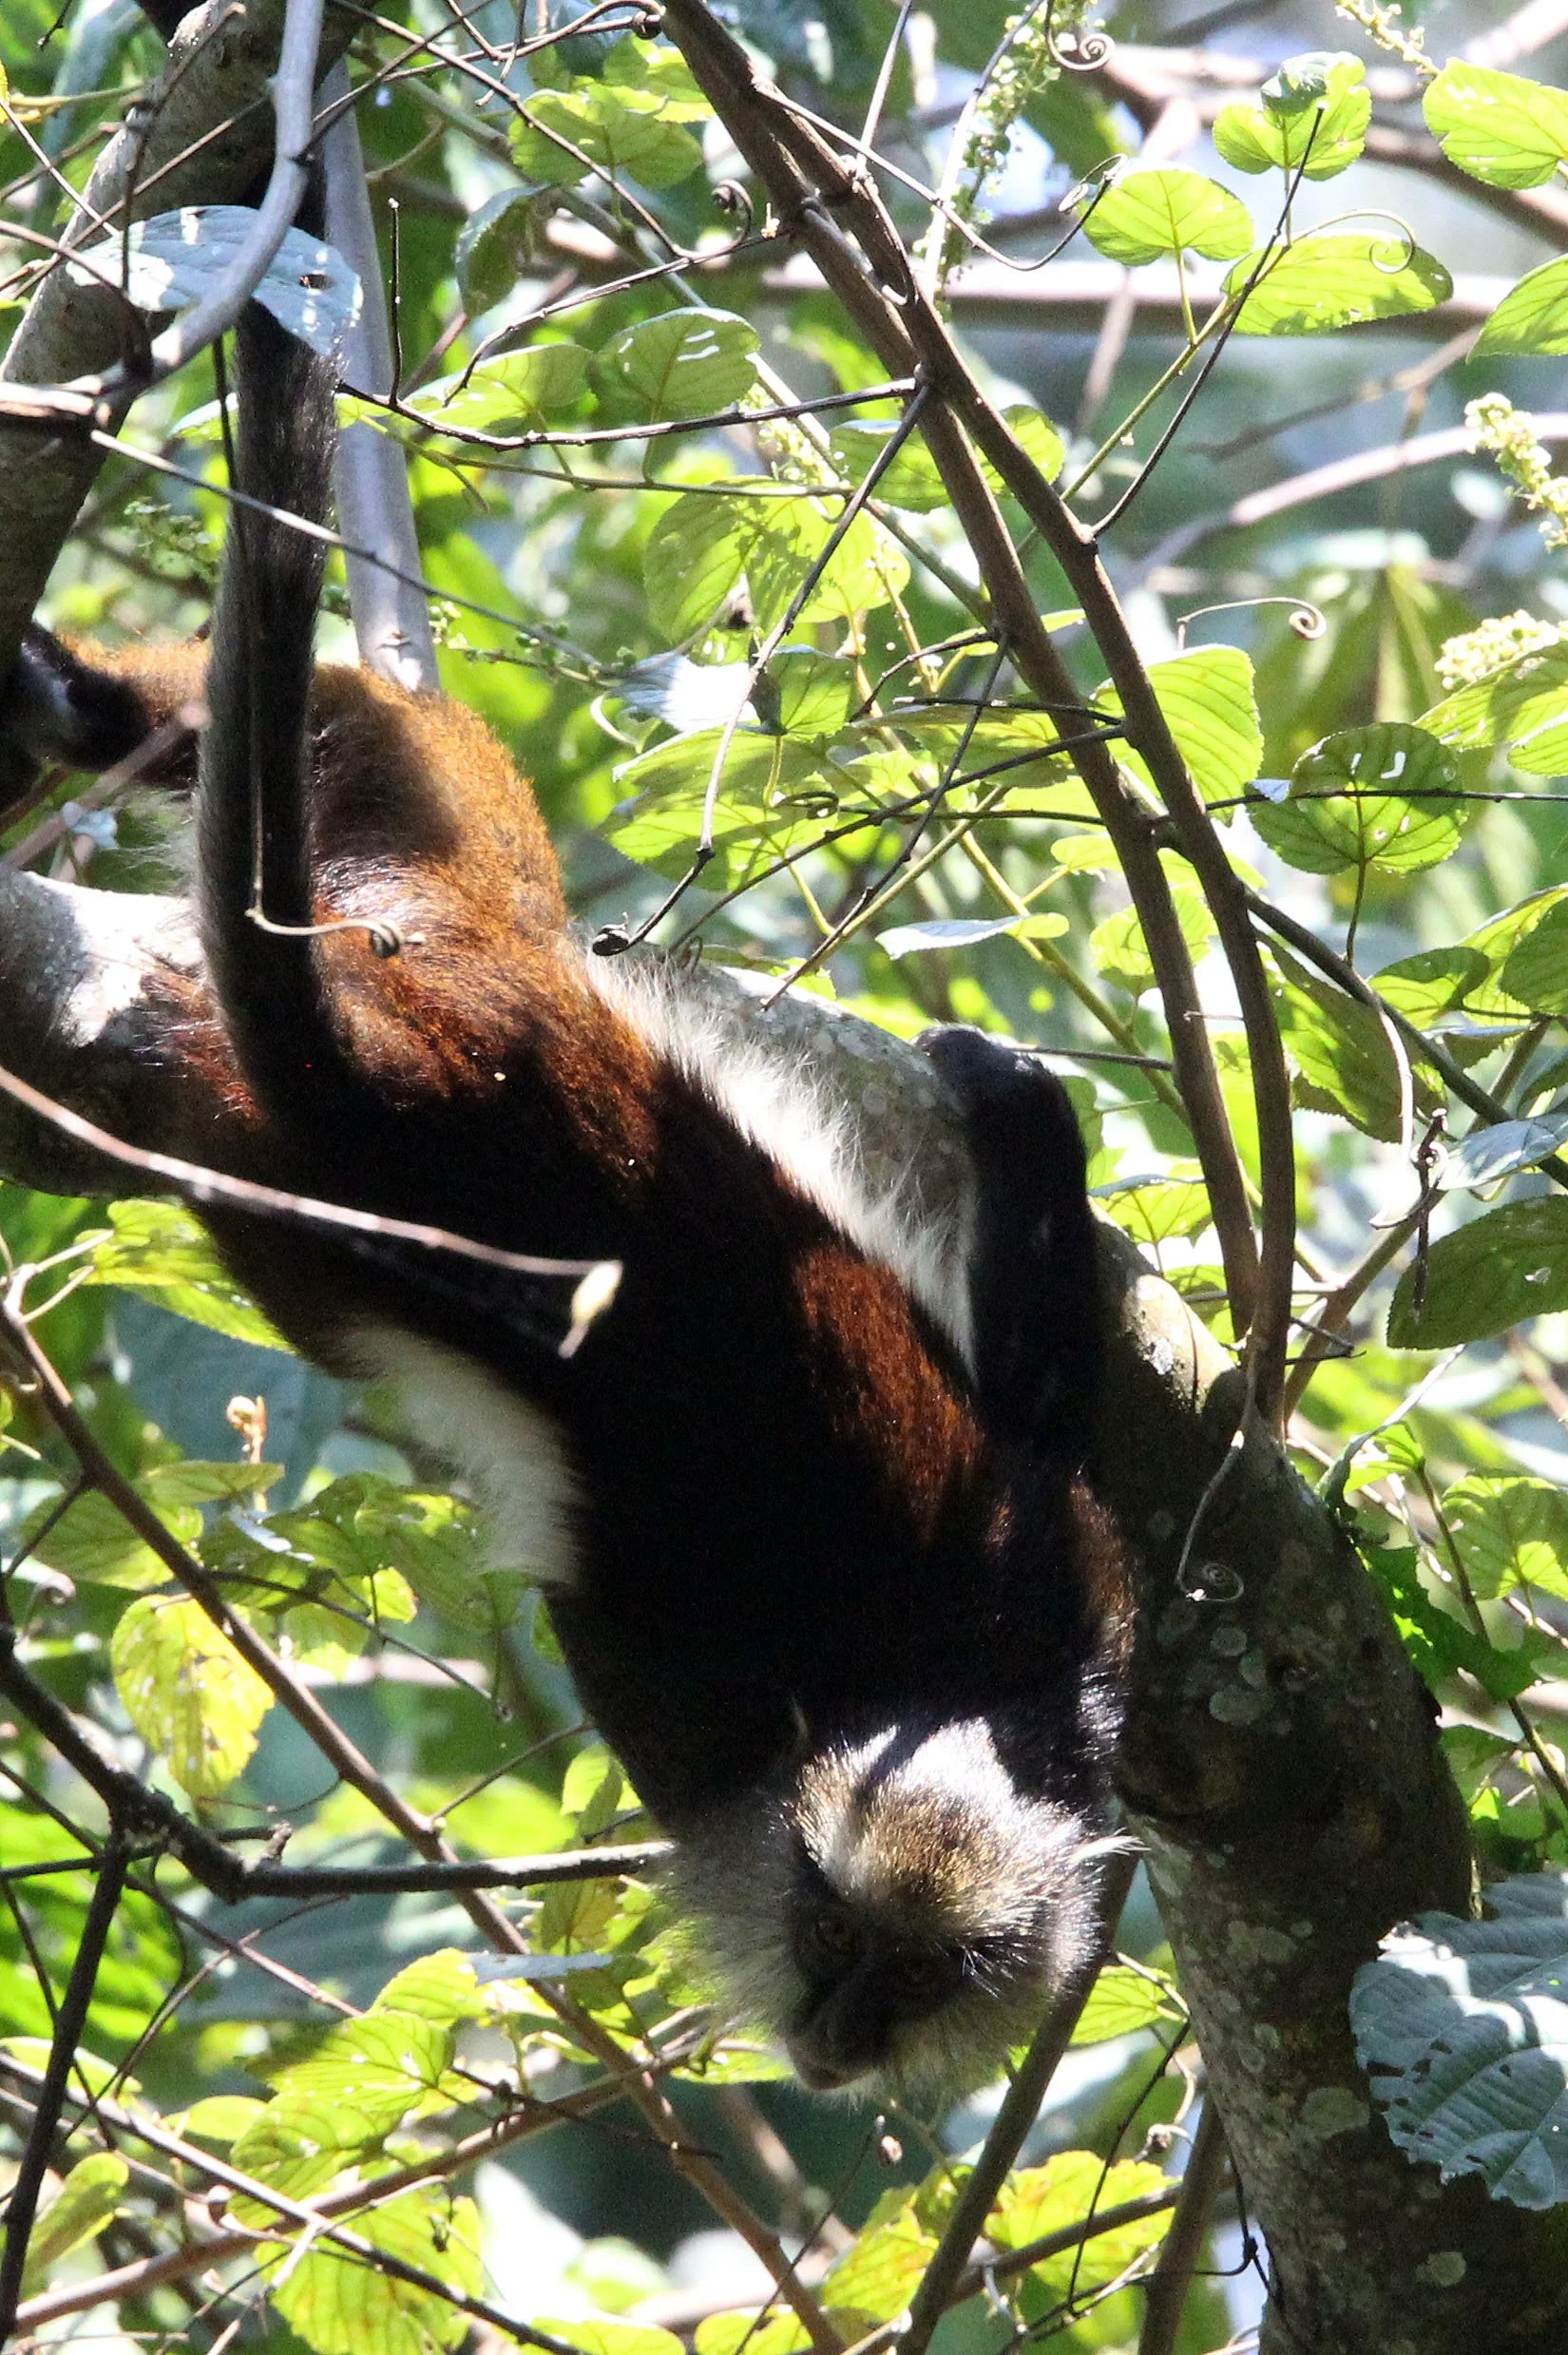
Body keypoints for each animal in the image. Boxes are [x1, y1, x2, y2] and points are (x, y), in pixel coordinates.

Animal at [0, 295, 1129, 2103]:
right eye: (829, 1936)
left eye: (923, 1973)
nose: (835, 2037)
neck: (942, 1680)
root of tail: (434, 1062)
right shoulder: (733, 1687)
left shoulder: (1077, 1636)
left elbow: (1031, 1412)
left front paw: (1014, 1108)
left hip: (420, 905)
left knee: (347, 722)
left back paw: (75, 709)